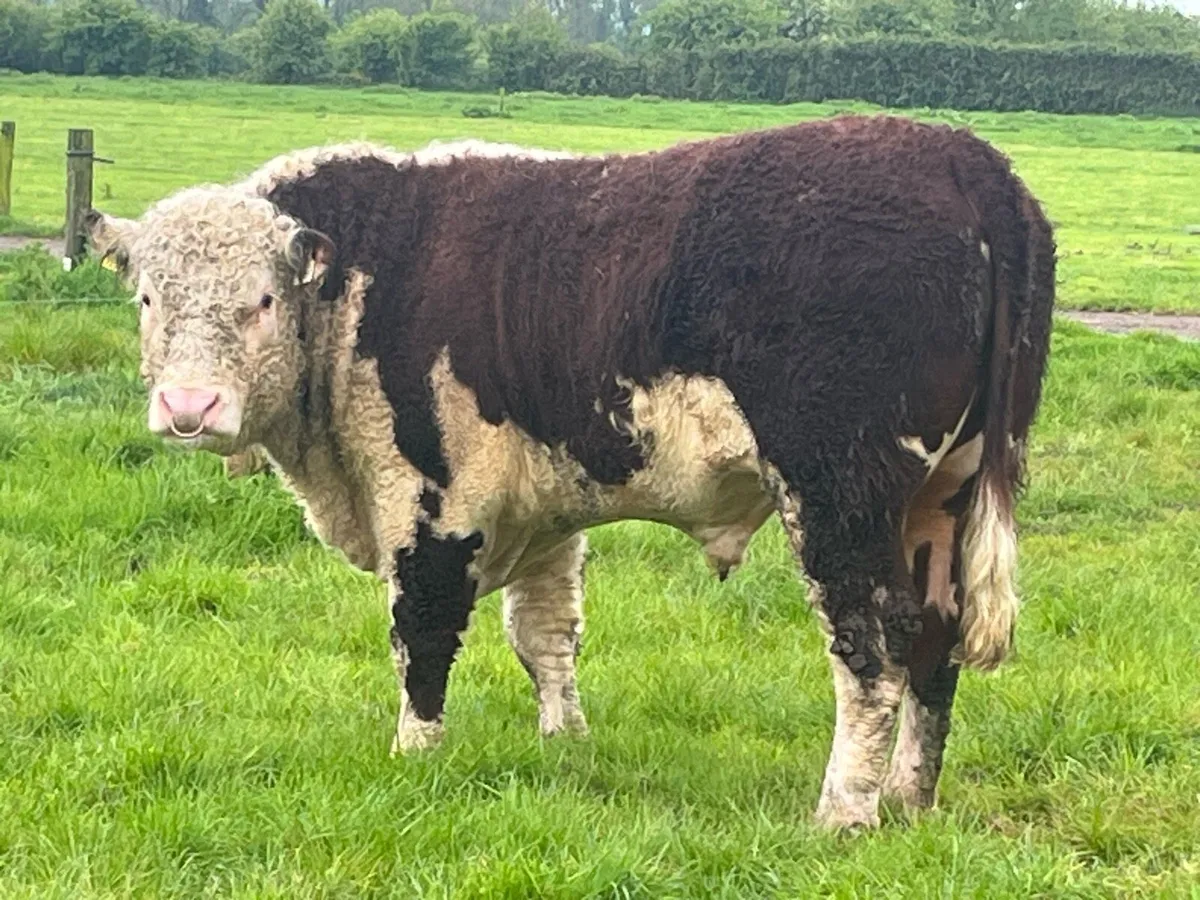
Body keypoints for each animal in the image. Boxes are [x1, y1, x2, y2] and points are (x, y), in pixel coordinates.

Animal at [87, 116, 1055, 829]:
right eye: (148, 299)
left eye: (260, 301)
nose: (188, 407)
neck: (372, 277)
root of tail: (966, 158)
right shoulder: (544, 508)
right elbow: (546, 633)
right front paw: (565, 741)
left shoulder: (433, 499)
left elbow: (422, 632)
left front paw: (415, 755)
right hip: (942, 495)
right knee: (936, 636)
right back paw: (909, 798)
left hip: (839, 491)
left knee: (873, 644)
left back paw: (844, 812)